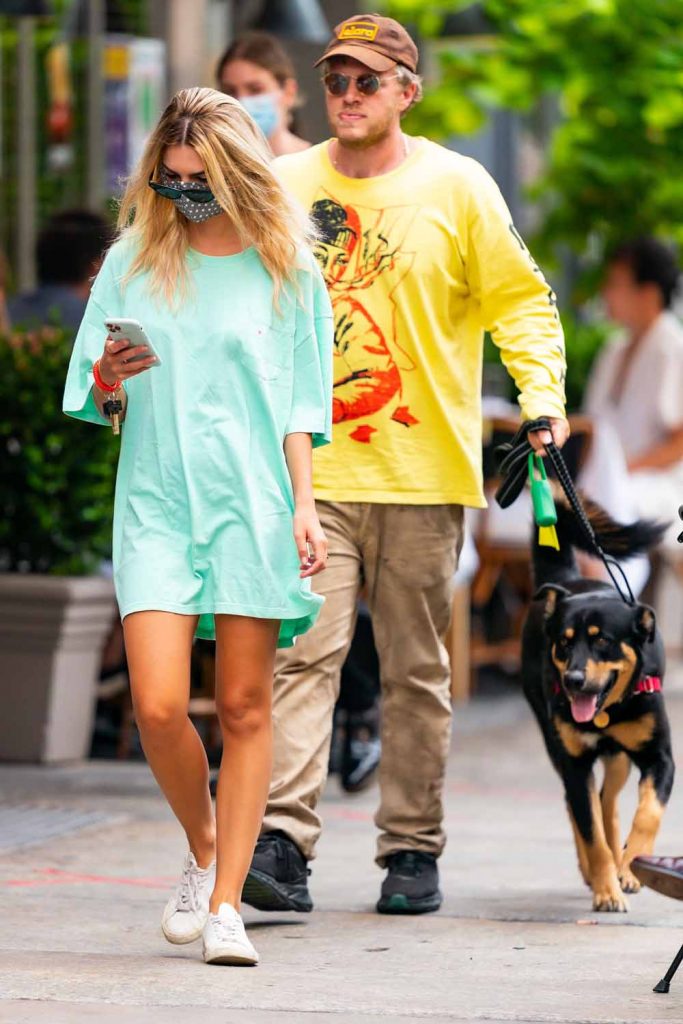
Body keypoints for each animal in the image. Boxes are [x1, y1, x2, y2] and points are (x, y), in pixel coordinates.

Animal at [524, 497, 671, 913]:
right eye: (564, 642)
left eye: (602, 640)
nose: (573, 680)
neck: (609, 711)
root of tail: (569, 580)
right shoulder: (575, 763)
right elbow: (591, 833)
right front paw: (606, 889)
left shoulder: (660, 758)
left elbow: (647, 814)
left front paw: (631, 866)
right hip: (555, 743)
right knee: (580, 807)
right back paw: (593, 871)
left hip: (619, 758)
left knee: (608, 801)